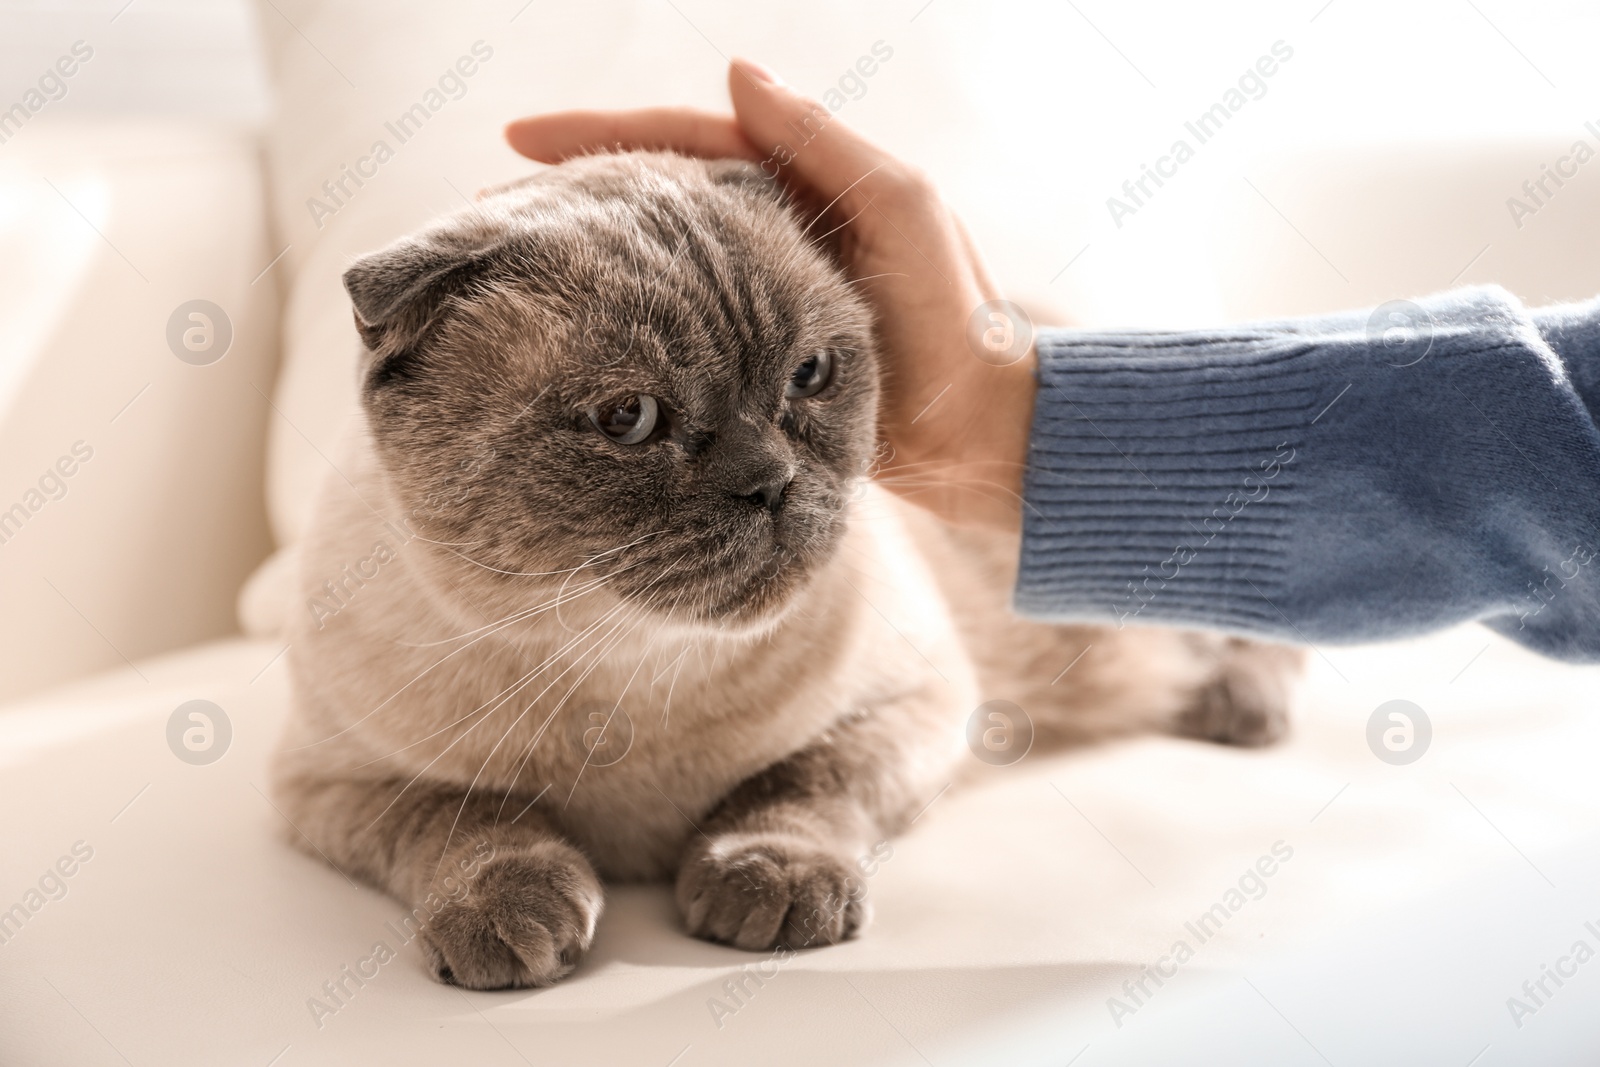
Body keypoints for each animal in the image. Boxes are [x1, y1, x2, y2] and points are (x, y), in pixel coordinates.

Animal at [275, 150, 1299, 991]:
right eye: (628, 420)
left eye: (809, 375)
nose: (770, 480)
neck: (627, 668)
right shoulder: (332, 784)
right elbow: (468, 817)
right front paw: (510, 916)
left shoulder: (919, 709)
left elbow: (796, 787)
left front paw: (762, 886)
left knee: (1256, 631)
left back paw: (1241, 708)